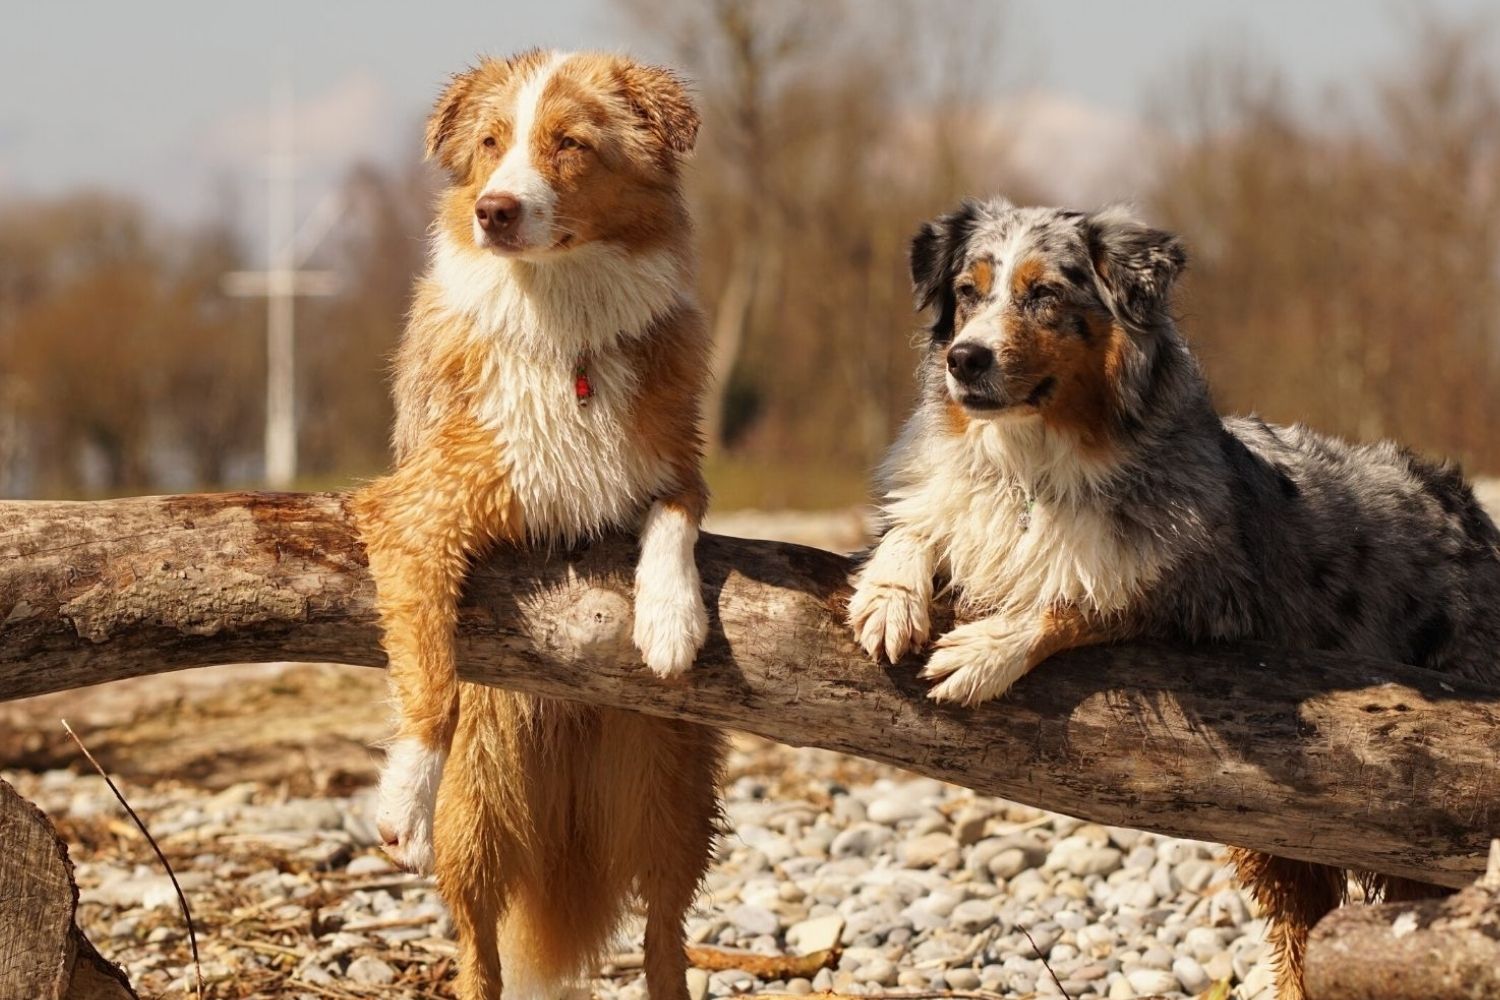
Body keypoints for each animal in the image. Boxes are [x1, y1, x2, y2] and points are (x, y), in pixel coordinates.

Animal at [354, 50, 723, 1000]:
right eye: (491, 143)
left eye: (571, 144)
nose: (495, 210)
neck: (563, 324)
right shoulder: (417, 510)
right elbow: (434, 679)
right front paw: (402, 793)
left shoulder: (674, 464)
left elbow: (674, 519)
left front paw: (669, 619)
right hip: (481, 815)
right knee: (478, 947)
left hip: (673, 801)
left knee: (665, 934)